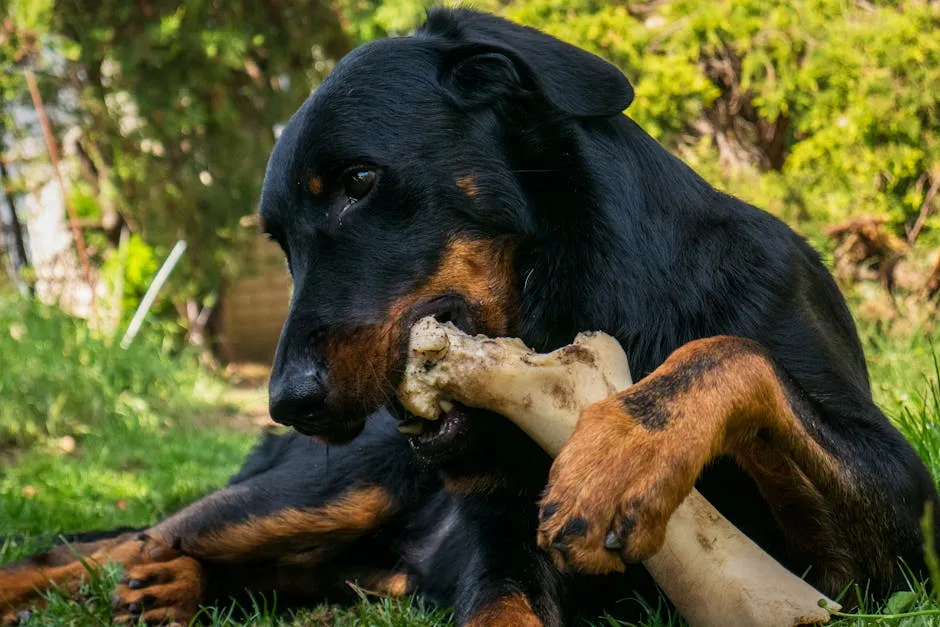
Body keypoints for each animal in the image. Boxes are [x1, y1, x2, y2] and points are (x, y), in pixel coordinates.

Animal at [3, 7, 936, 624]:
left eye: (360, 182)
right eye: (279, 239)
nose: (290, 402)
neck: (587, 301)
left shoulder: (883, 542)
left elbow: (734, 350)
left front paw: (620, 452)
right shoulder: (503, 551)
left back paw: (174, 588)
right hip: (325, 490)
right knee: (114, 539)